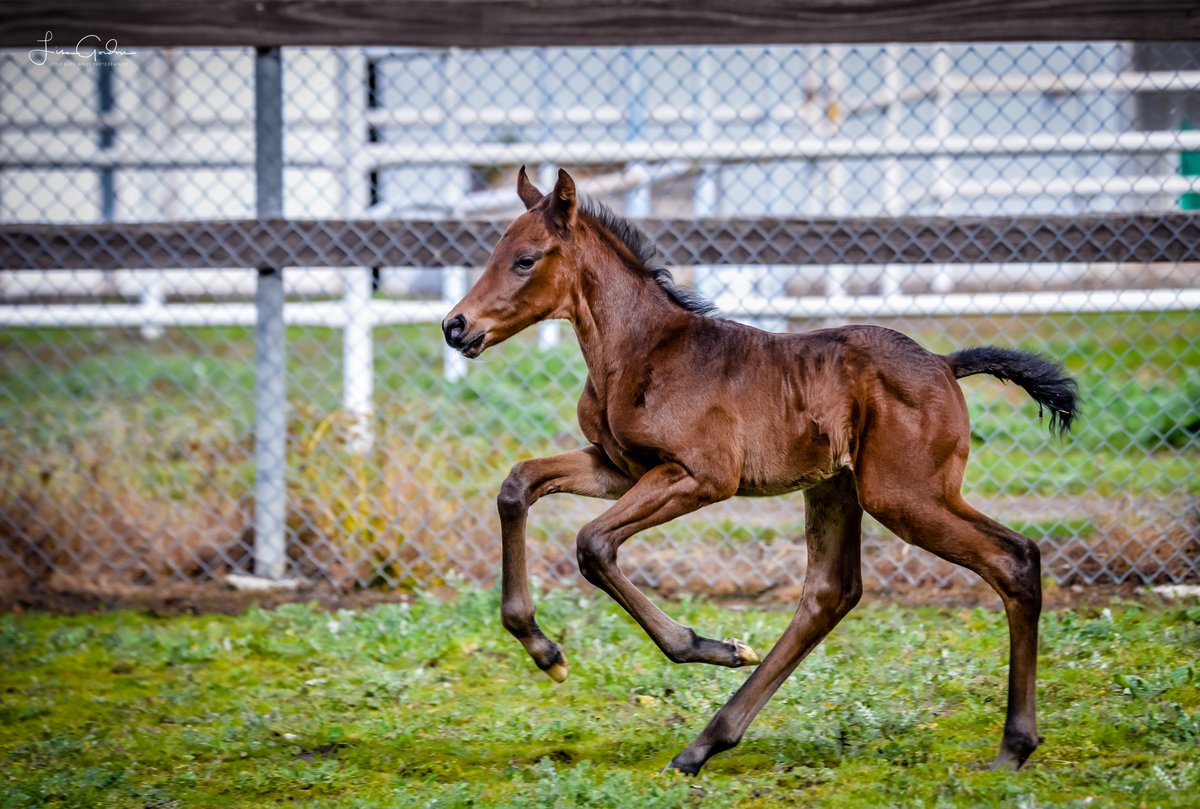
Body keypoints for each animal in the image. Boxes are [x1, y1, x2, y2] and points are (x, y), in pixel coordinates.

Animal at [442, 167, 1078, 775]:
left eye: (525, 259)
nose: (455, 326)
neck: (641, 351)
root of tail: (946, 364)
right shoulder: (617, 466)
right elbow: (517, 486)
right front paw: (545, 651)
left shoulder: (702, 476)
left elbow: (592, 543)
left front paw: (702, 645)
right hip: (838, 488)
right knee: (830, 593)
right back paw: (703, 746)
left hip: (904, 495)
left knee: (1014, 559)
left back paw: (1014, 747)